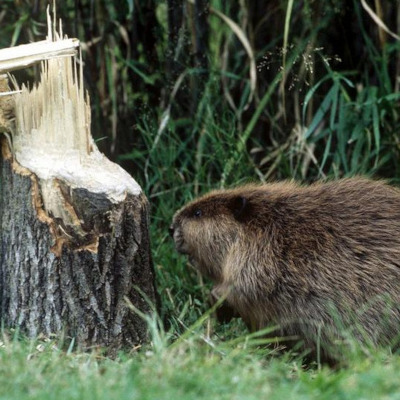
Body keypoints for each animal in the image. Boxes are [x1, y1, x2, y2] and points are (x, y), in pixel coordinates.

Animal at [170, 180, 400, 360]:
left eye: (197, 212)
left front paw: (215, 301)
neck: (268, 226)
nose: (171, 227)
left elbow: (246, 288)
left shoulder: (260, 258)